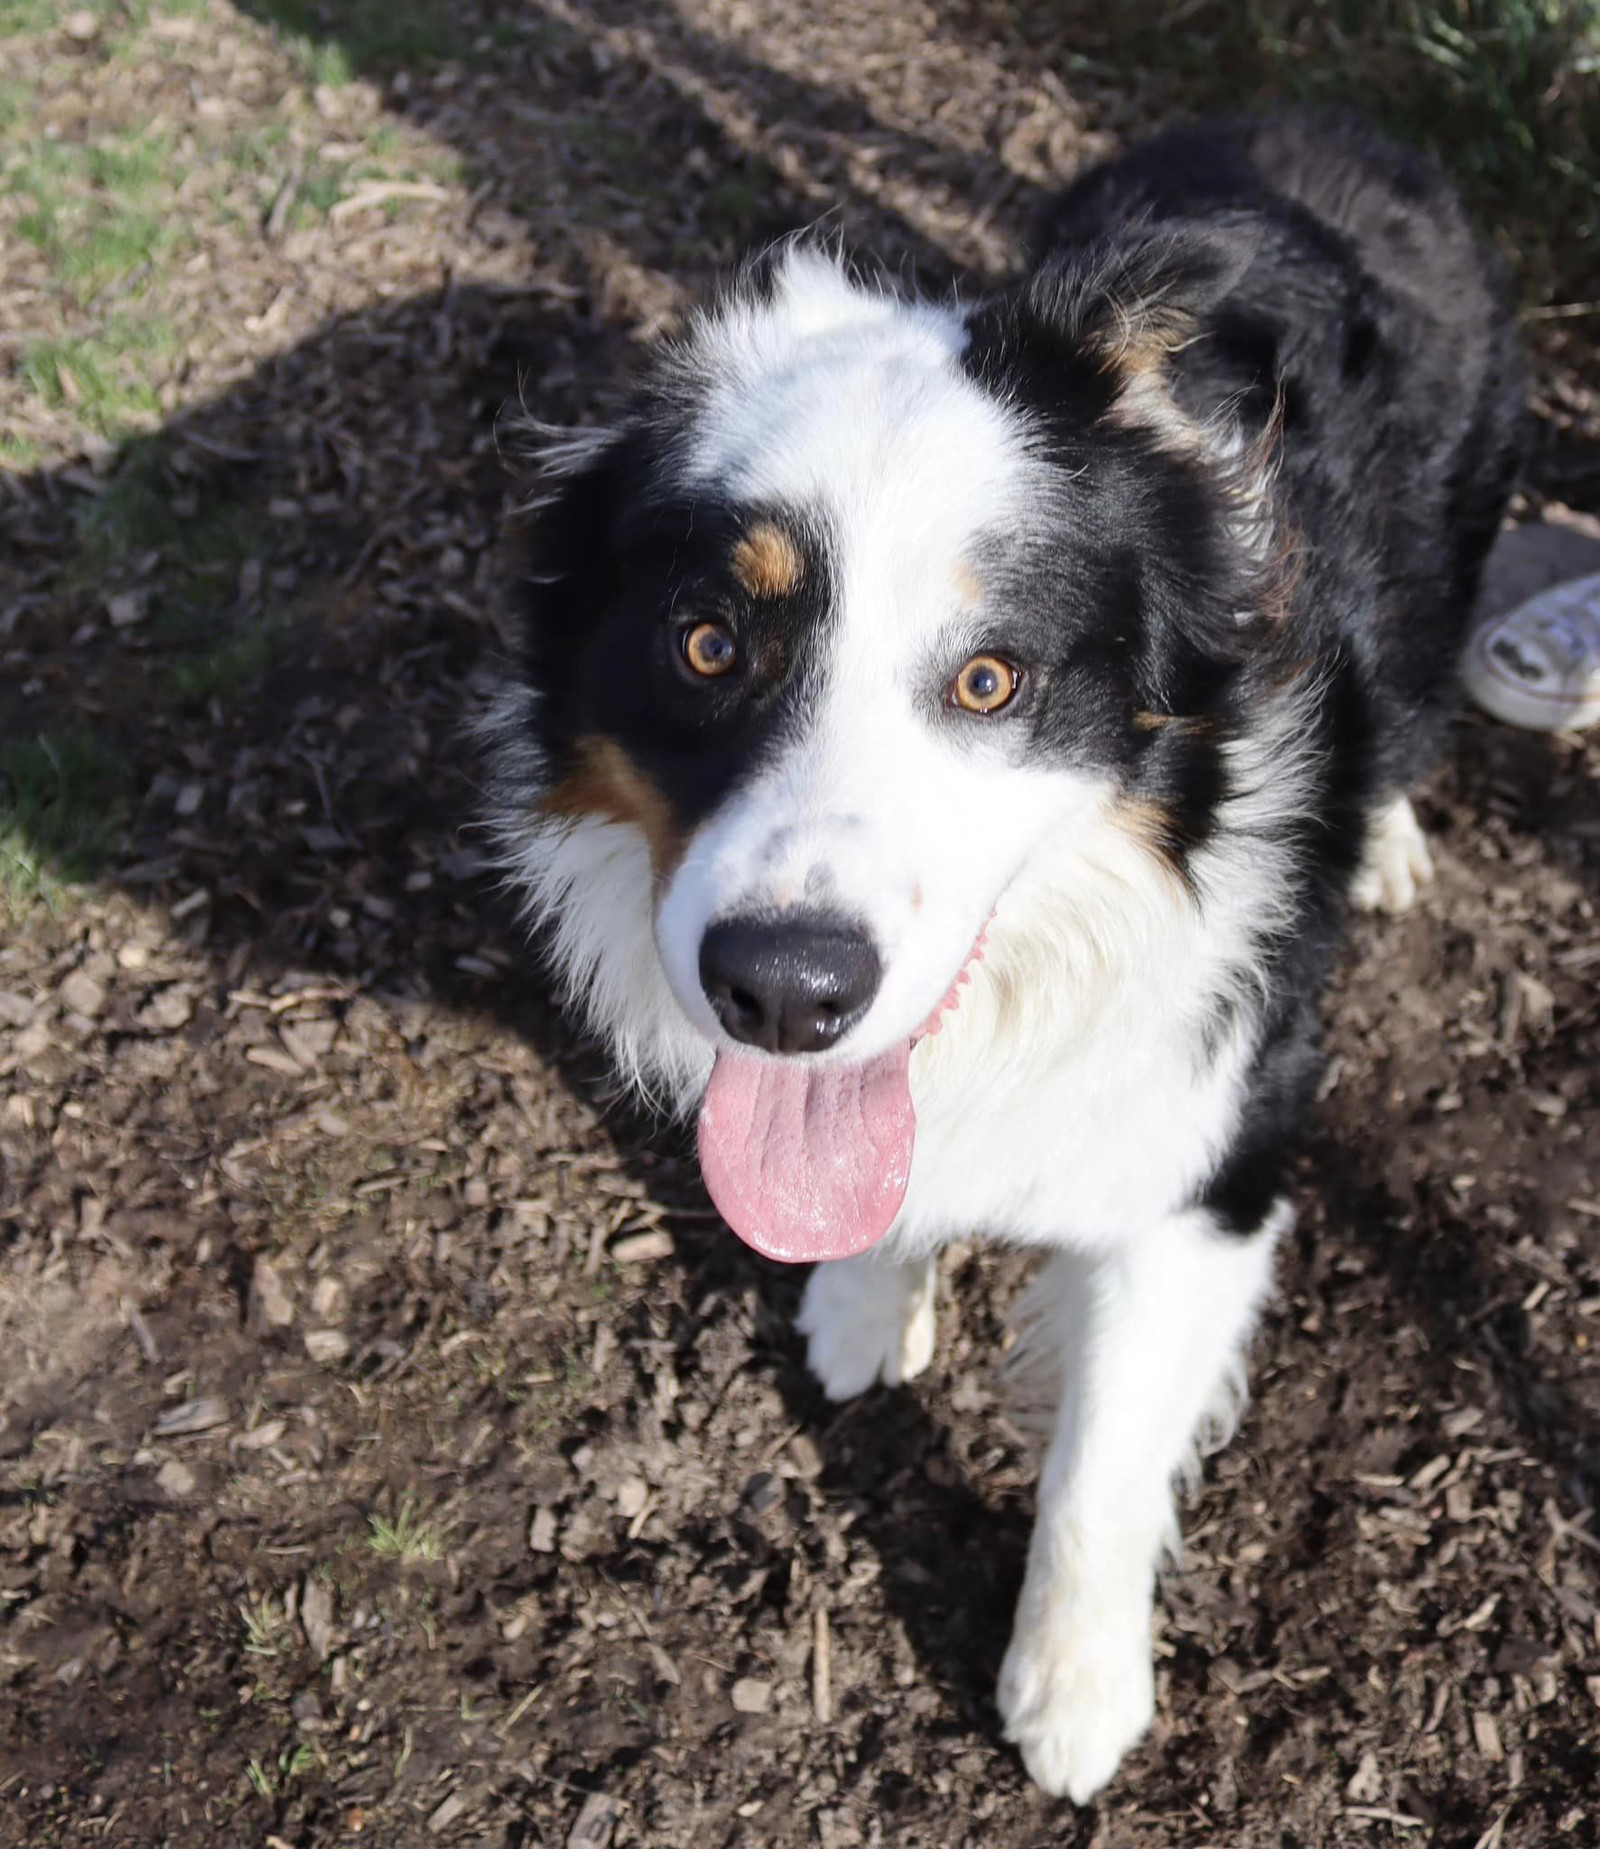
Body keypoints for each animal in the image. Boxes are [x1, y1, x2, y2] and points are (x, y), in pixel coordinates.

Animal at [484, 108, 1524, 1797]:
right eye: (707, 643)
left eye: (991, 680)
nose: (784, 989)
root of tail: (1319, 121)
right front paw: (858, 1307)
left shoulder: (1221, 1143)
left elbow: (1104, 1452)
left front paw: (1074, 1691)